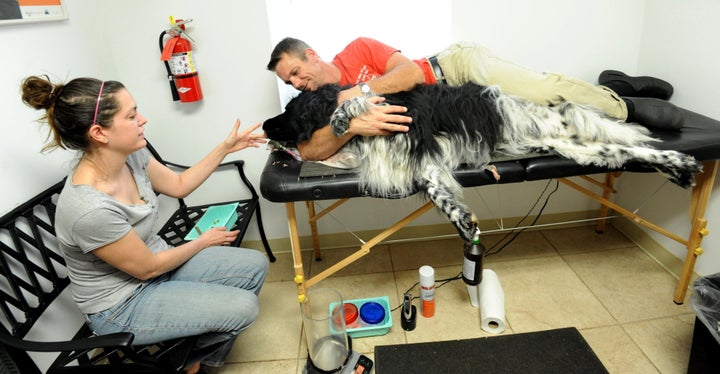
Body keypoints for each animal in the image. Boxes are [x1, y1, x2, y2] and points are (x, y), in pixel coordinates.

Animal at [262, 83, 700, 241]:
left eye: (288, 109)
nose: (264, 124)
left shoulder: (400, 117)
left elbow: (356, 102)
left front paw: (341, 116)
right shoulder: (428, 168)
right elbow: (441, 196)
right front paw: (463, 221)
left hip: (558, 130)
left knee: (628, 144)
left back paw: (682, 160)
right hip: (574, 147)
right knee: (628, 152)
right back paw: (679, 165)